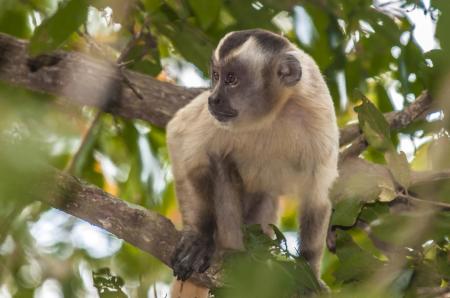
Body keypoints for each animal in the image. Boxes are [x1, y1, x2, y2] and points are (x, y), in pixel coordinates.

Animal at [168, 28, 338, 296]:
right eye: (216, 76)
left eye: (231, 79)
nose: (213, 98)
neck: (276, 112)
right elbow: (179, 139)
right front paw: (199, 235)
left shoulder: (318, 111)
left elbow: (317, 195)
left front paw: (308, 274)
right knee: (219, 161)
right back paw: (232, 251)